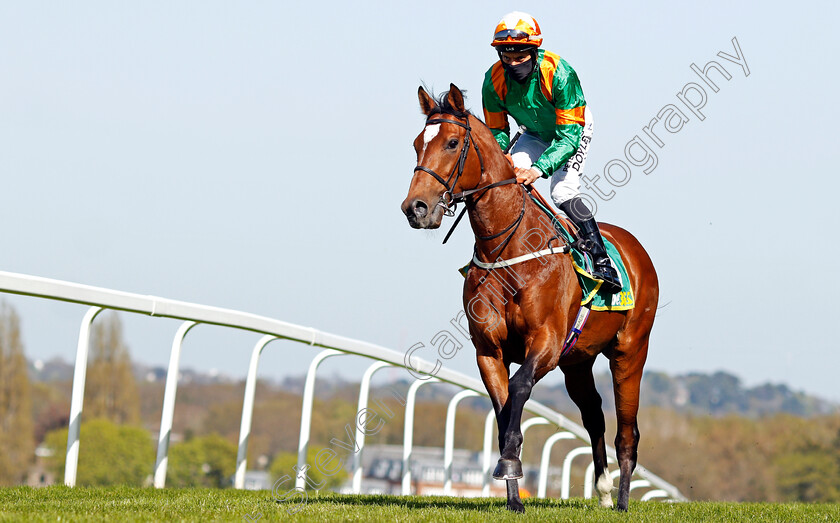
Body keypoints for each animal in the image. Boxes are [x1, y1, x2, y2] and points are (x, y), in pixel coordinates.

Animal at [398, 84, 660, 512]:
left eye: (452, 143)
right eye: (418, 143)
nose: (415, 208)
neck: (507, 250)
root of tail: (636, 249)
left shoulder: (547, 343)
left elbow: (520, 389)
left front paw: (509, 462)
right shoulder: (489, 351)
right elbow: (504, 411)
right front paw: (512, 493)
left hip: (630, 351)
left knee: (627, 431)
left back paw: (622, 501)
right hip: (578, 361)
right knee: (594, 416)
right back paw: (604, 491)